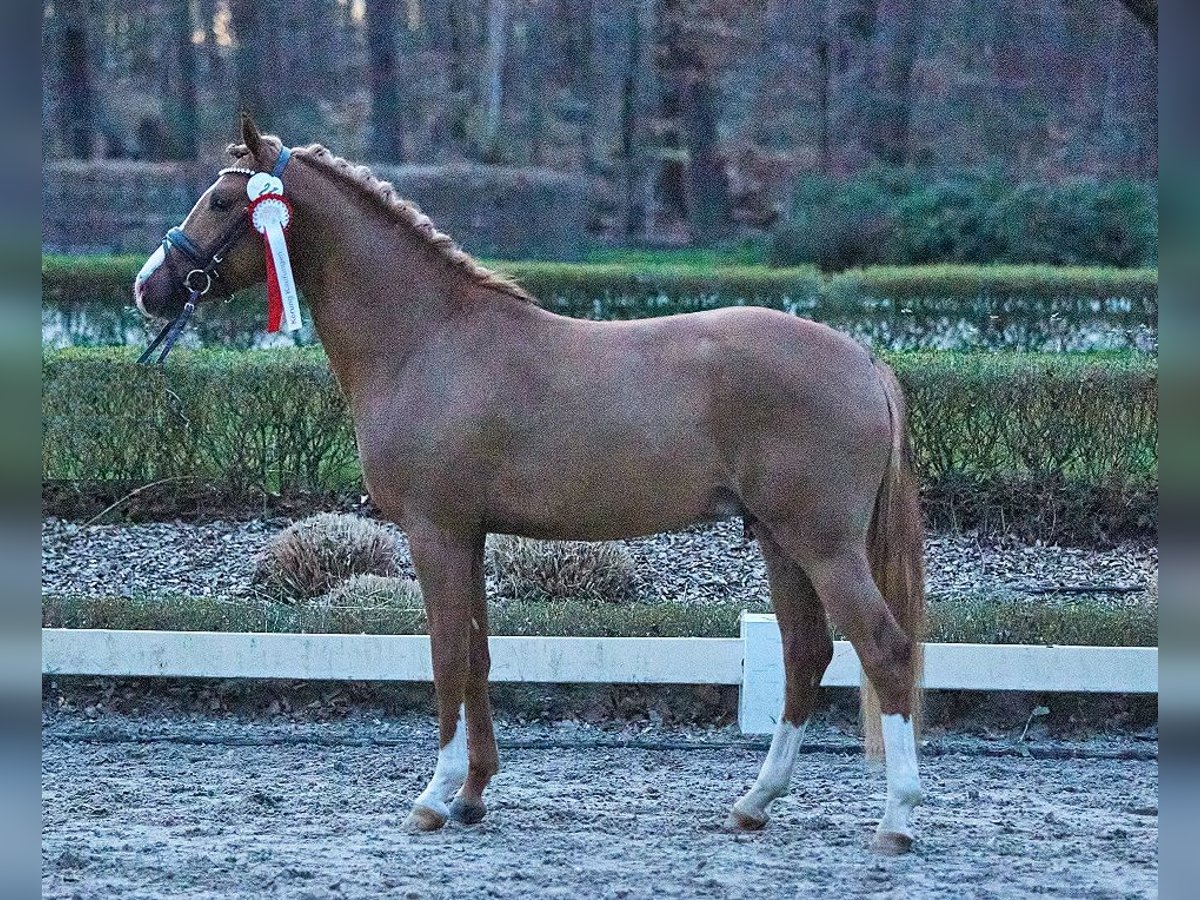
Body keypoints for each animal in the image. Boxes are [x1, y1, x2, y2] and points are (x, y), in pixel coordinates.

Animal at [138, 116, 926, 854]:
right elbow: (478, 656)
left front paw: (434, 797)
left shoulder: (435, 533)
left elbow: (447, 656)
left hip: (822, 543)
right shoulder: (469, 536)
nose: (149, 286)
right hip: (778, 540)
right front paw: (473, 795)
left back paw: (895, 819)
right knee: (806, 655)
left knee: (883, 649)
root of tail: (861, 359)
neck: (428, 341)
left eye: (221, 201)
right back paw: (754, 803)